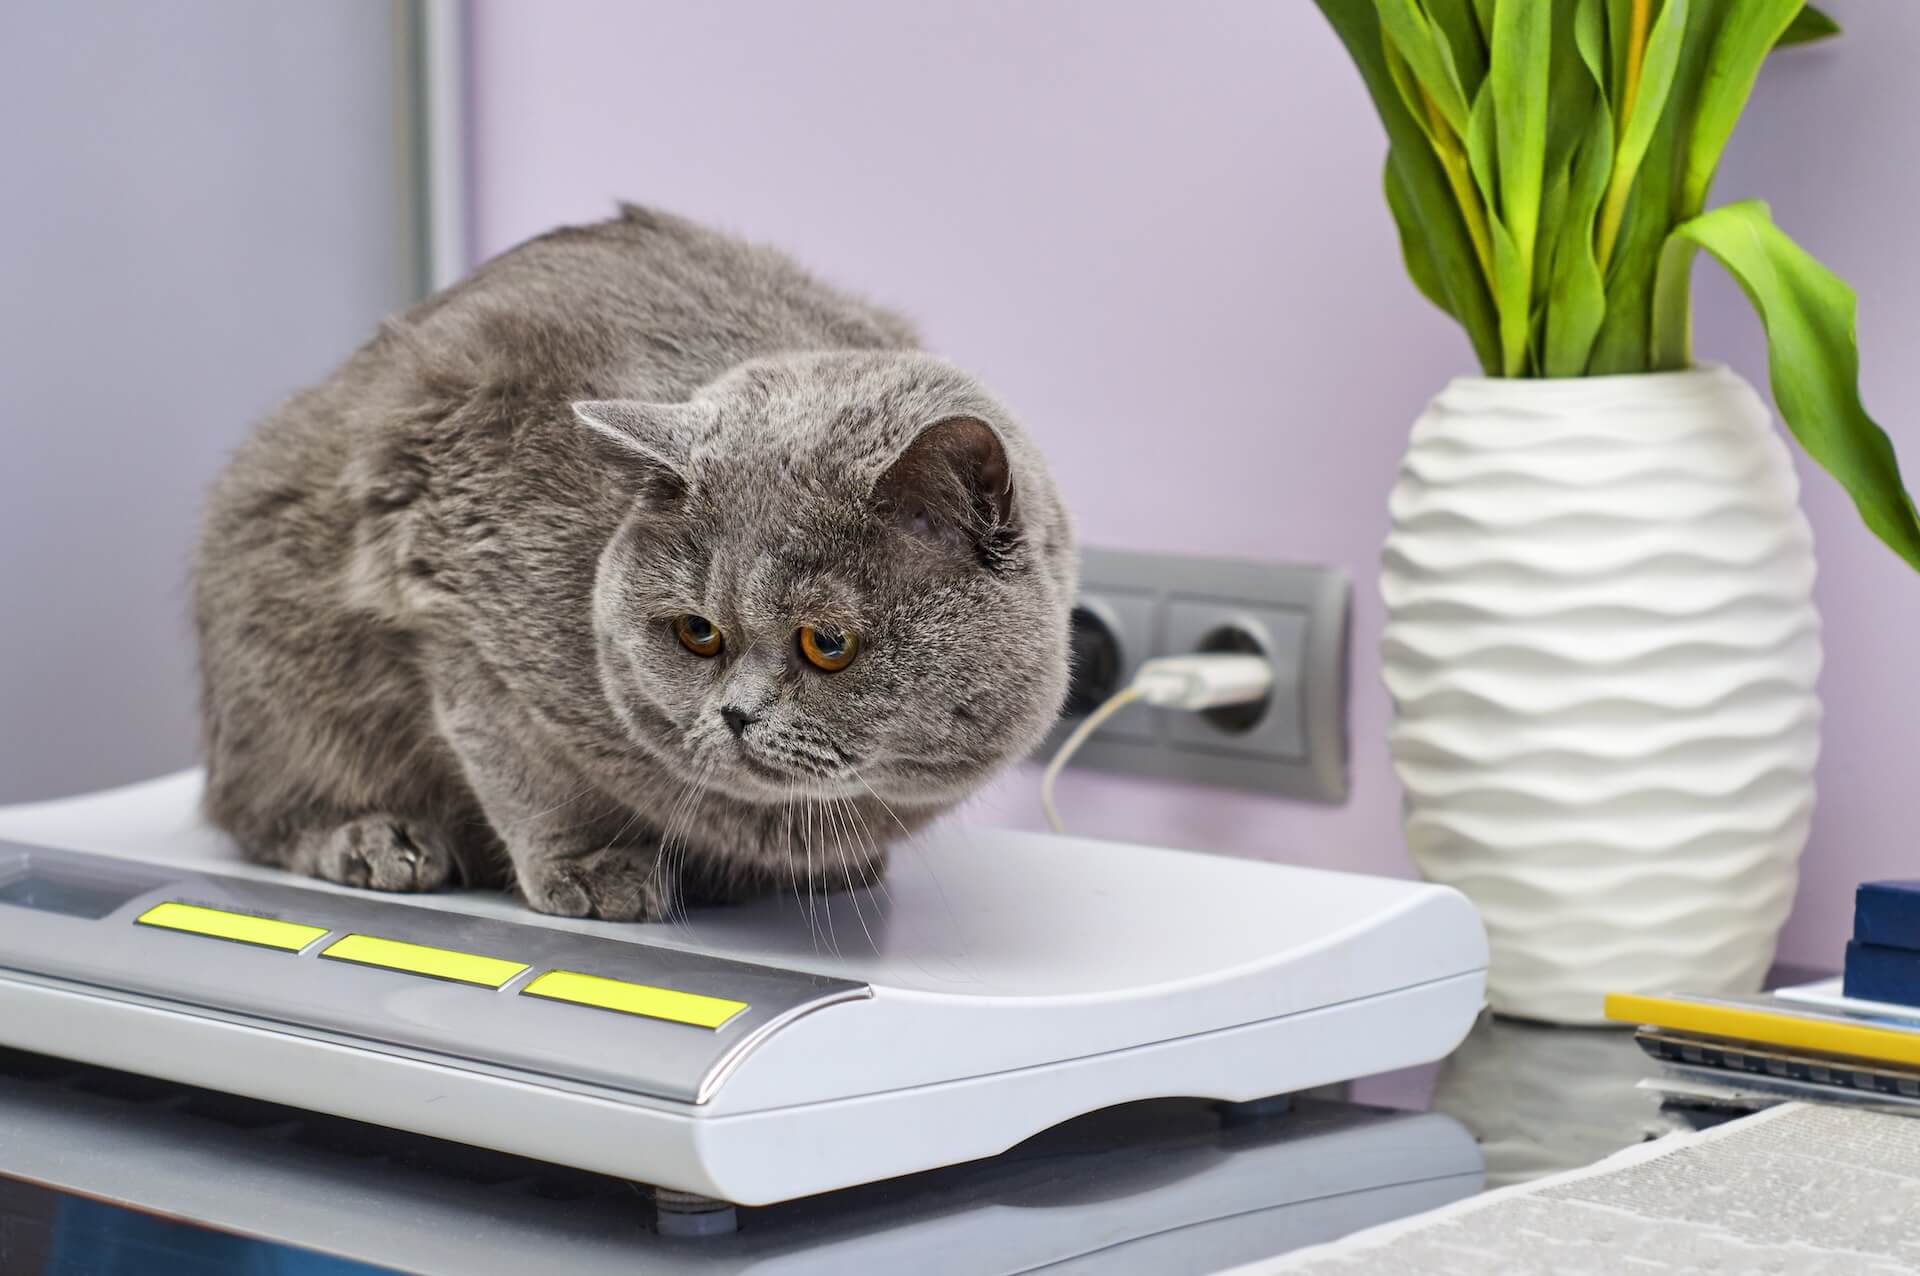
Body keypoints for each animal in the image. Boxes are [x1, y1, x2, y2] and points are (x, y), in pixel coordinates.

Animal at [194, 211, 1082, 924]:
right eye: (698, 633)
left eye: (828, 643)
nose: (736, 715)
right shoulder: (452, 590)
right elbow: (520, 767)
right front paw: (592, 871)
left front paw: (833, 868)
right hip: (272, 644)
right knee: (256, 808)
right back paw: (378, 839)